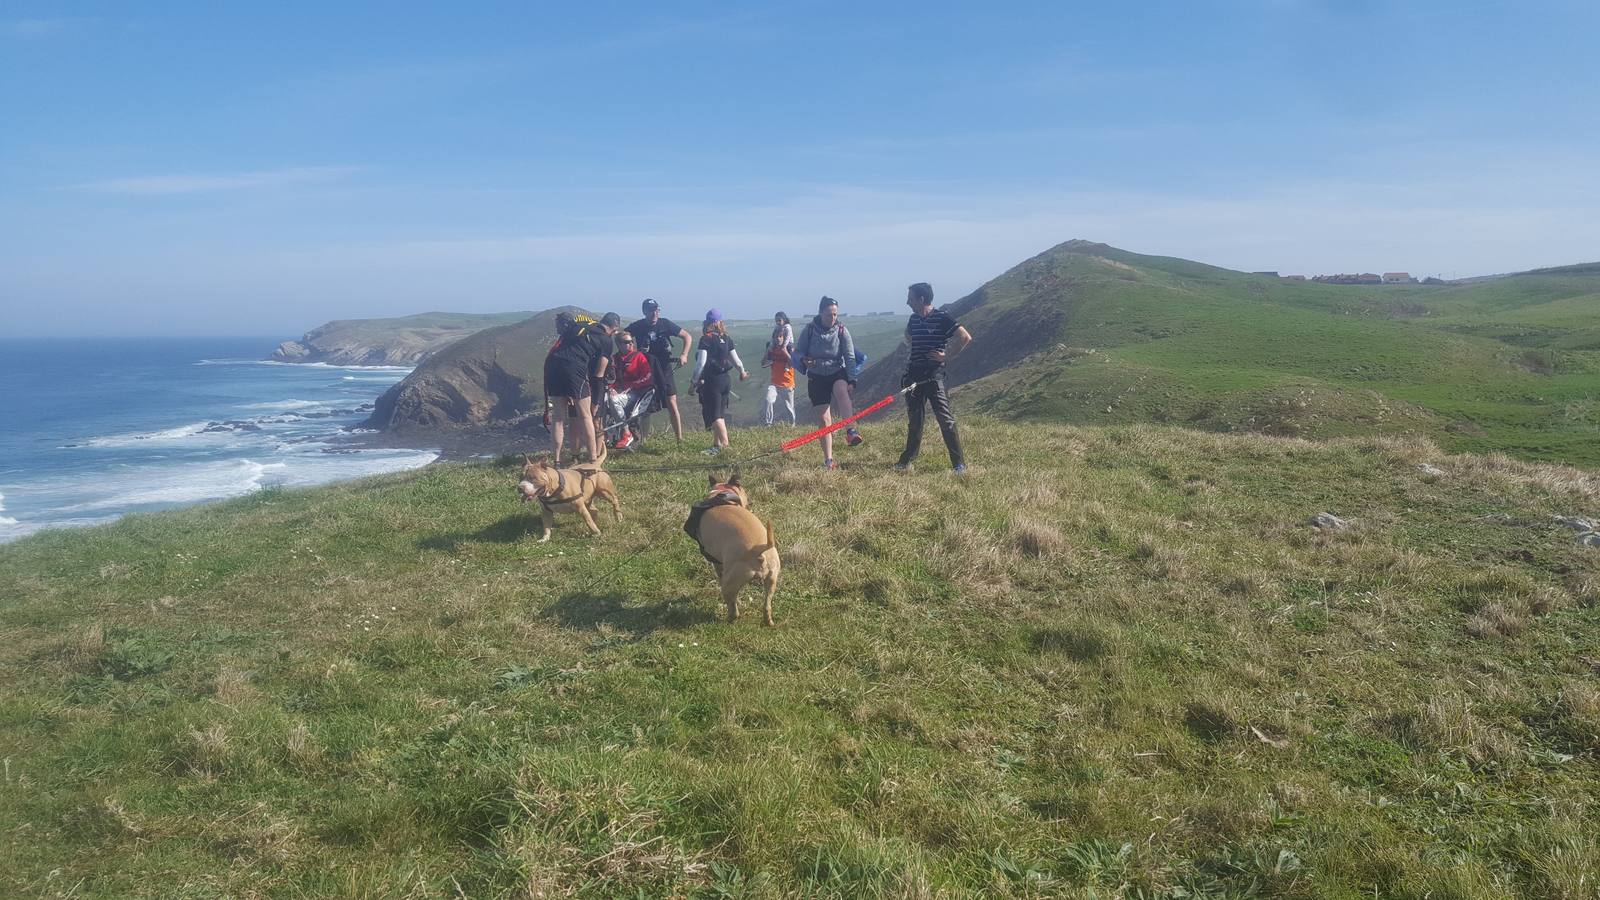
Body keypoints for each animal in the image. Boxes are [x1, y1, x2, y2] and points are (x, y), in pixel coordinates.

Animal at [684, 470, 784, 624]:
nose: (750, 501)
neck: (721, 493)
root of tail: (760, 551)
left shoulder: (716, 561)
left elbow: (719, 572)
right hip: (772, 579)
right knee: (767, 605)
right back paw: (768, 622)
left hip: (730, 582)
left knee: (732, 605)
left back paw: (729, 618)